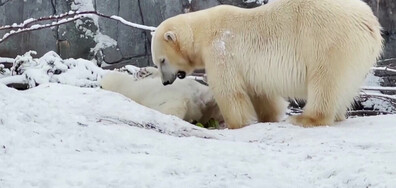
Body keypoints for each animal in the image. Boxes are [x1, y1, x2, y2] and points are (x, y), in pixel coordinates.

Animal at [150, 0, 382, 129]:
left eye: (162, 60)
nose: (165, 82)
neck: (202, 30)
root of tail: (369, 22)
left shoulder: (220, 49)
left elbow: (229, 90)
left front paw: (233, 124)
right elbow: (261, 93)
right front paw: (269, 117)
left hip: (327, 39)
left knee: (324, 80)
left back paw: (306, 118)